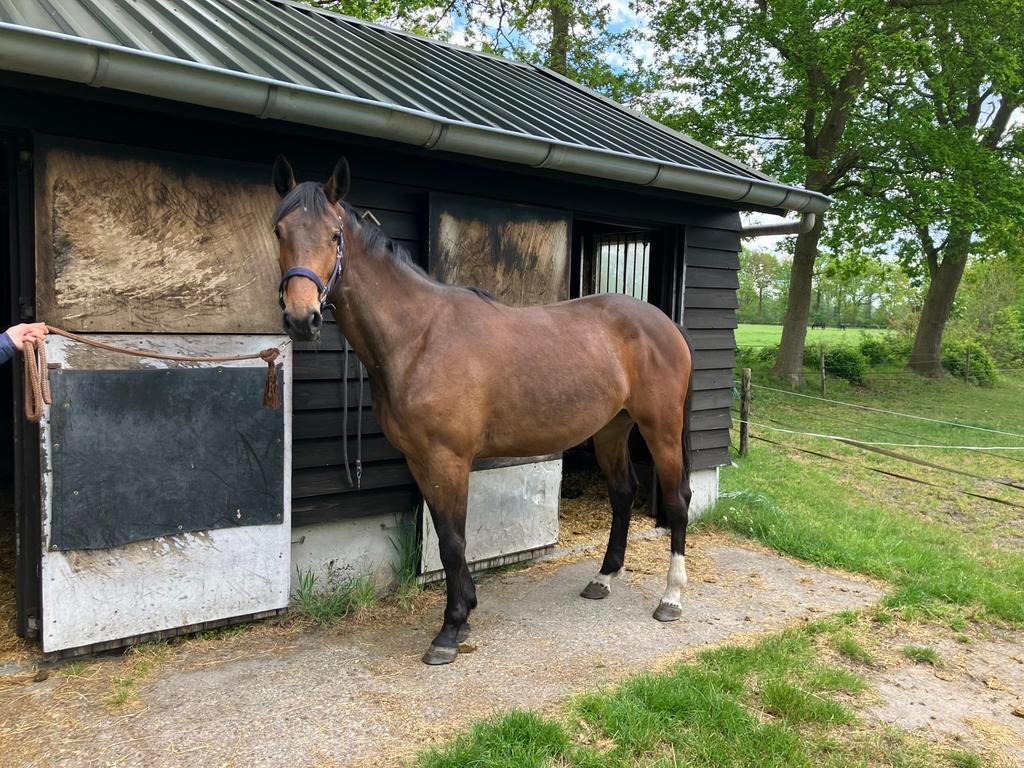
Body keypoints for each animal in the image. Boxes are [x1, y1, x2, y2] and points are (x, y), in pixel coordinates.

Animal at [271, 156, 694, 665]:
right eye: (279, 231)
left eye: (335, 235)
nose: (302, 318)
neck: (420, 336)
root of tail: (664, 324)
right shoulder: (421, 460)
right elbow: (445, 534)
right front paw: (465, 613)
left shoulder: (448, 458)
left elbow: (454, 542)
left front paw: (450, 630)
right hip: (613, 428)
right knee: (623, 493)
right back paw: (603, 579)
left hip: (661, 426)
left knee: (678, 499)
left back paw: (671, 598)